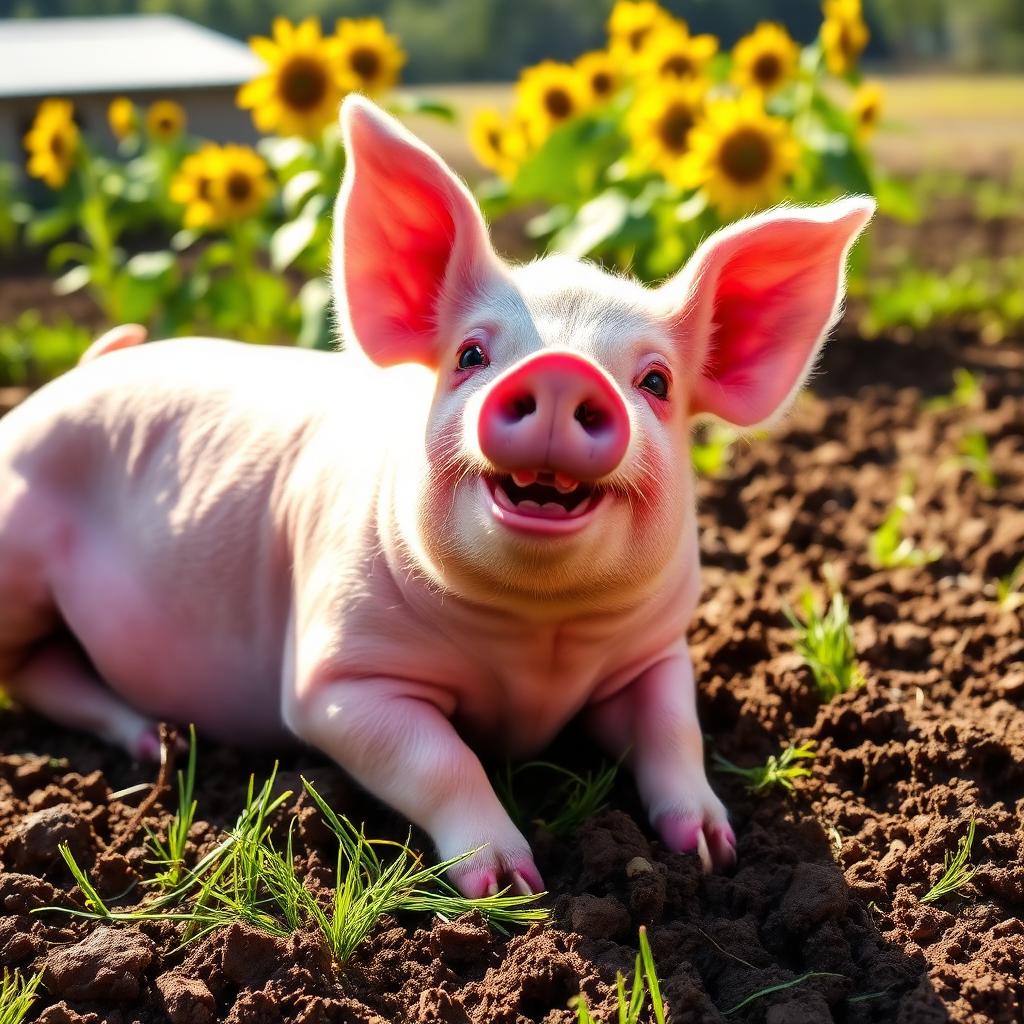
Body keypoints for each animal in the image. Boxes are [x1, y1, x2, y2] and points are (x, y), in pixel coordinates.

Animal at [0, 95, 873, 897]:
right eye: (472, 355)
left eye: (655, 381)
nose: (561, 372)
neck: (534, 651)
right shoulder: (334, 676)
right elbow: (439, 758)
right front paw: (511, 886)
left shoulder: (657, 650)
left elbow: (673, 731)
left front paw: (712, 851)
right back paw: (158, 746)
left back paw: (152, 742)